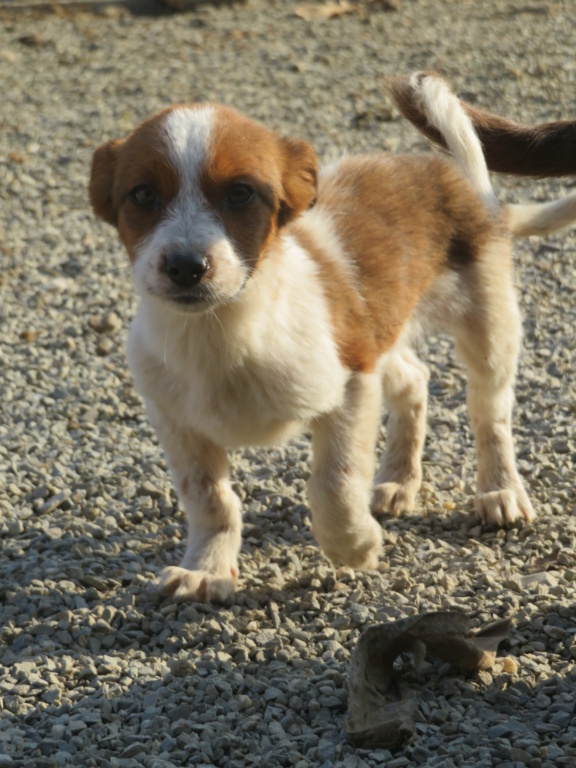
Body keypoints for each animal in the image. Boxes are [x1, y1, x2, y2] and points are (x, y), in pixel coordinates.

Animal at [89, 73, 576, 600]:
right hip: (378, 333)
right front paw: (206, 568)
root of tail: (458, 179)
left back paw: (500, 491)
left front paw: (354, 545)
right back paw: (398, 481)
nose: (185, 267)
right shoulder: (176, 421)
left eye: (241, 193)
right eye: (142, 195)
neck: (223, 330)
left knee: (490, 414)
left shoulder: (350, 386)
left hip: (487, 326)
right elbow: (210, 500)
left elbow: (332, 482)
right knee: (416, 380)